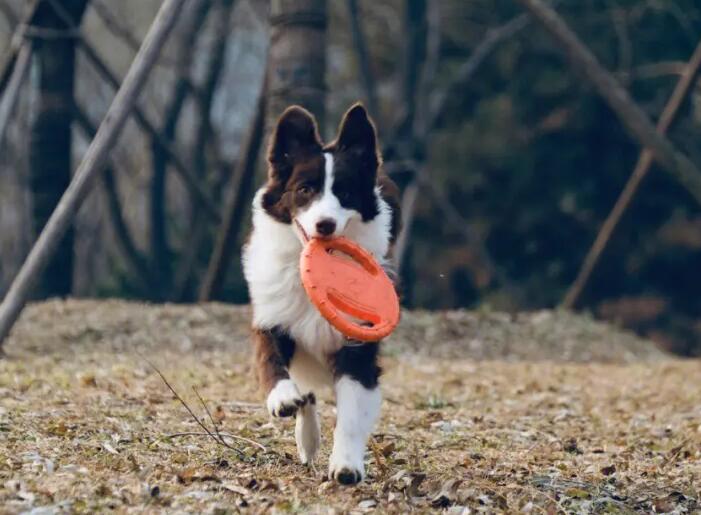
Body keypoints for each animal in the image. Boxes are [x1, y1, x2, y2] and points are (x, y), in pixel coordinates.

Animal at [242, 103, 400, 486]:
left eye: (345, 192)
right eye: (305, 189)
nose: (325, 224)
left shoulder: (357, 345)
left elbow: (352, 412)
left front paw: (346, 465)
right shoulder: (272, 318)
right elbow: (272, 362)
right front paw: (283, 399)